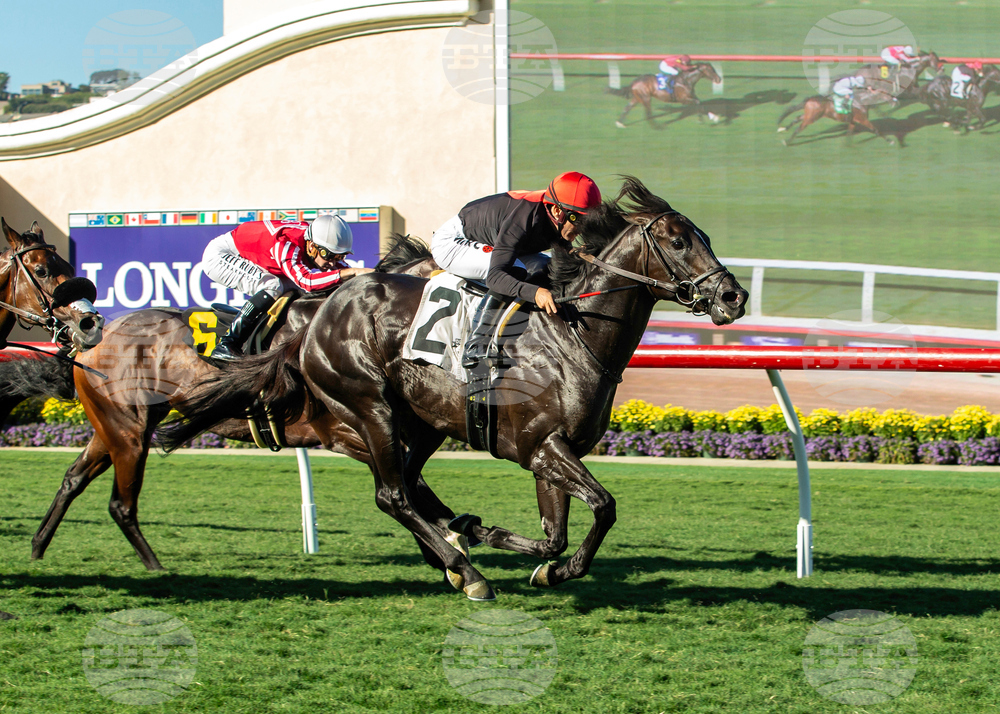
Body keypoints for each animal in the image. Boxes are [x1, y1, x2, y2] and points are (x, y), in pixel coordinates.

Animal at [4, 235, 443, 572]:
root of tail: (90, 338)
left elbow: (413, 484)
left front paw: (445, 545)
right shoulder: (346, 433)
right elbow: (409, 486)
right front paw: (445, 552)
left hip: (115, 426)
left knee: (74, 479)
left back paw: (38, 547)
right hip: (128, 431)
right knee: (120, 504)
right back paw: (154, 566)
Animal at [158, 177, 748, 601]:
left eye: (706, 238)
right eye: (678, 241)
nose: (734, 297)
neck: (574, 331)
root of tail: (316, 319)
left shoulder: (553, 452)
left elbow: (555, 533)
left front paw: (534, 562)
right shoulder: (540, 446)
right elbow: (604, 506)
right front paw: (496, 543)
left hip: (419, 421)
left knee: (410, 483)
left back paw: (455, 549)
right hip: (369, 406)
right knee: (392, 494)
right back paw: (466, 570)